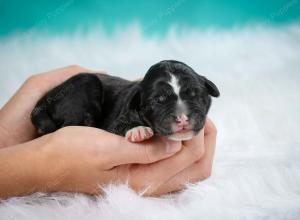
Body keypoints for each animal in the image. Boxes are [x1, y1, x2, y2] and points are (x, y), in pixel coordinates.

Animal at [31, 60, 219, 143]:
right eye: (158, 101)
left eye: (195, 94)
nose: (182, 118)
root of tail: (43, 101)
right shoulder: (116, 121)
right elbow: (122, 124)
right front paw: (138, 130)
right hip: (84, 83)